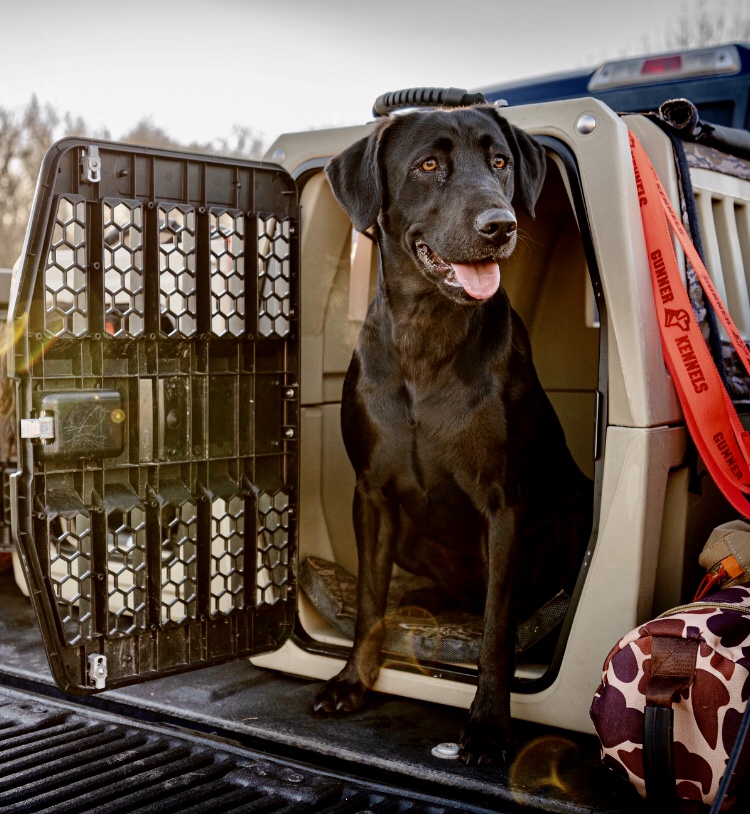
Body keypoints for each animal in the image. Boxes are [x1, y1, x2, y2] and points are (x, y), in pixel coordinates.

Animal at [312, 102, 592, 764]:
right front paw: (352, 681)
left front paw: (488, 724)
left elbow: (495, 630)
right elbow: (369, 599)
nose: (500, 225)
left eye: (501, 162)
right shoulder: (373, 496)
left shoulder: (504, 506)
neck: (427, 330)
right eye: (427, 166)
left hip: (573, 511)